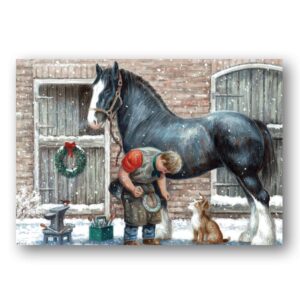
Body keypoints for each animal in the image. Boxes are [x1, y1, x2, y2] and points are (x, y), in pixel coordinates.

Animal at [86, 62, 276, 245]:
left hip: (246, 173)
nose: (92, 121)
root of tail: (254, 122)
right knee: (252, 201)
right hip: (241, 174)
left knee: (262, 198)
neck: (145, 121)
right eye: (94, 88)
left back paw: (262, 239)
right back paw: (248, 236)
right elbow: (162, 200)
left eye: (108, 89)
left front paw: (160, 233)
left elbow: (159, 200)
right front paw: (165, 233)